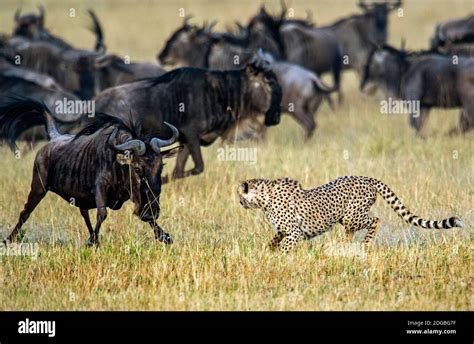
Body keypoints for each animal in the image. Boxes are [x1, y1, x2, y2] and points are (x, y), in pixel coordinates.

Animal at [237, 176, 462, 251]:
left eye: (240, 196)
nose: (239, 203)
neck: (264, 197)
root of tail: (367, 178)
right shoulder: (284, 230)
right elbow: (275, 239)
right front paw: (268, 251)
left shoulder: (295, 232)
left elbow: (285, 247)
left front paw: (280, 259)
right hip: (348, 219)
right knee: (351, 232)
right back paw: (345, 246)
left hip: (353, 216)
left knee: (375, 219)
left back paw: (365, 244)